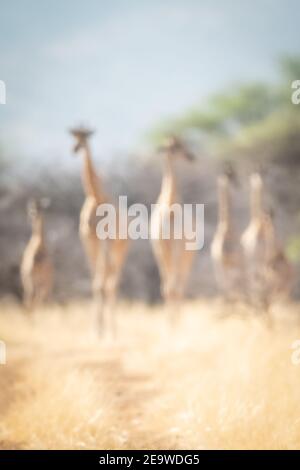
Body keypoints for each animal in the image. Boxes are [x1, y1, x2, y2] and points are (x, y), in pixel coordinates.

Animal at [69, 127, 128, 334]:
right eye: (75, 136)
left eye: (85, 137)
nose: (75, 149)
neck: (95, 196)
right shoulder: (88, 241)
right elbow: (95, 283)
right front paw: (96, 330)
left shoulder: (105, 242)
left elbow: (102, 283)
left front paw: (102, 330)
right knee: (106, 280)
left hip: (118, 250)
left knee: (112, 283)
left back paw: (114, 331)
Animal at [150, 134, 197, 322]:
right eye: (175, 147)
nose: (191, 157)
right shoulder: (161, 248)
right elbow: (167, 288)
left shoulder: (175, 248)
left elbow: (173, 288)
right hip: (170, 255)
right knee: (173, 286)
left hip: (184, 257)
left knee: (180, 286)